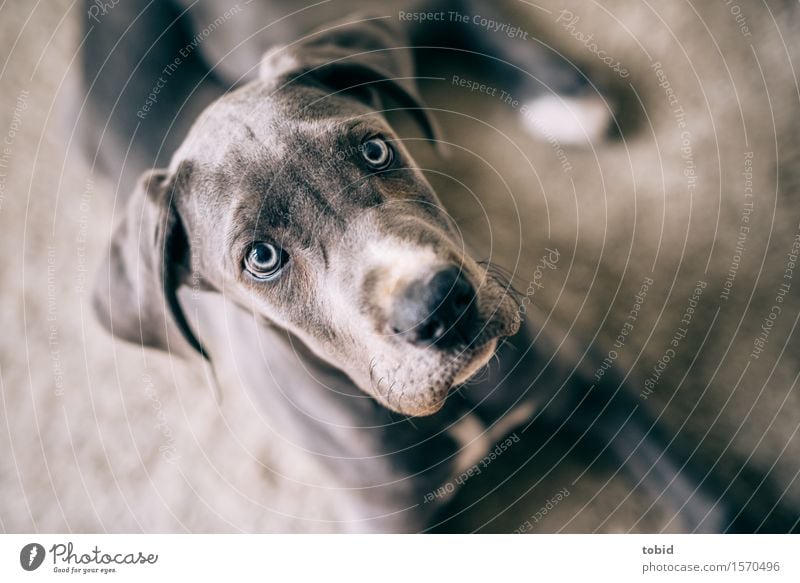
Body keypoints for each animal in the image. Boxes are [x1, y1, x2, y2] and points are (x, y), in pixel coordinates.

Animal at [78, 0, 792, 532]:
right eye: (261, 258)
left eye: (374, 149)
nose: (441, 307)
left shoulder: (591, 381)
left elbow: (715, 504)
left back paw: (566, 90)